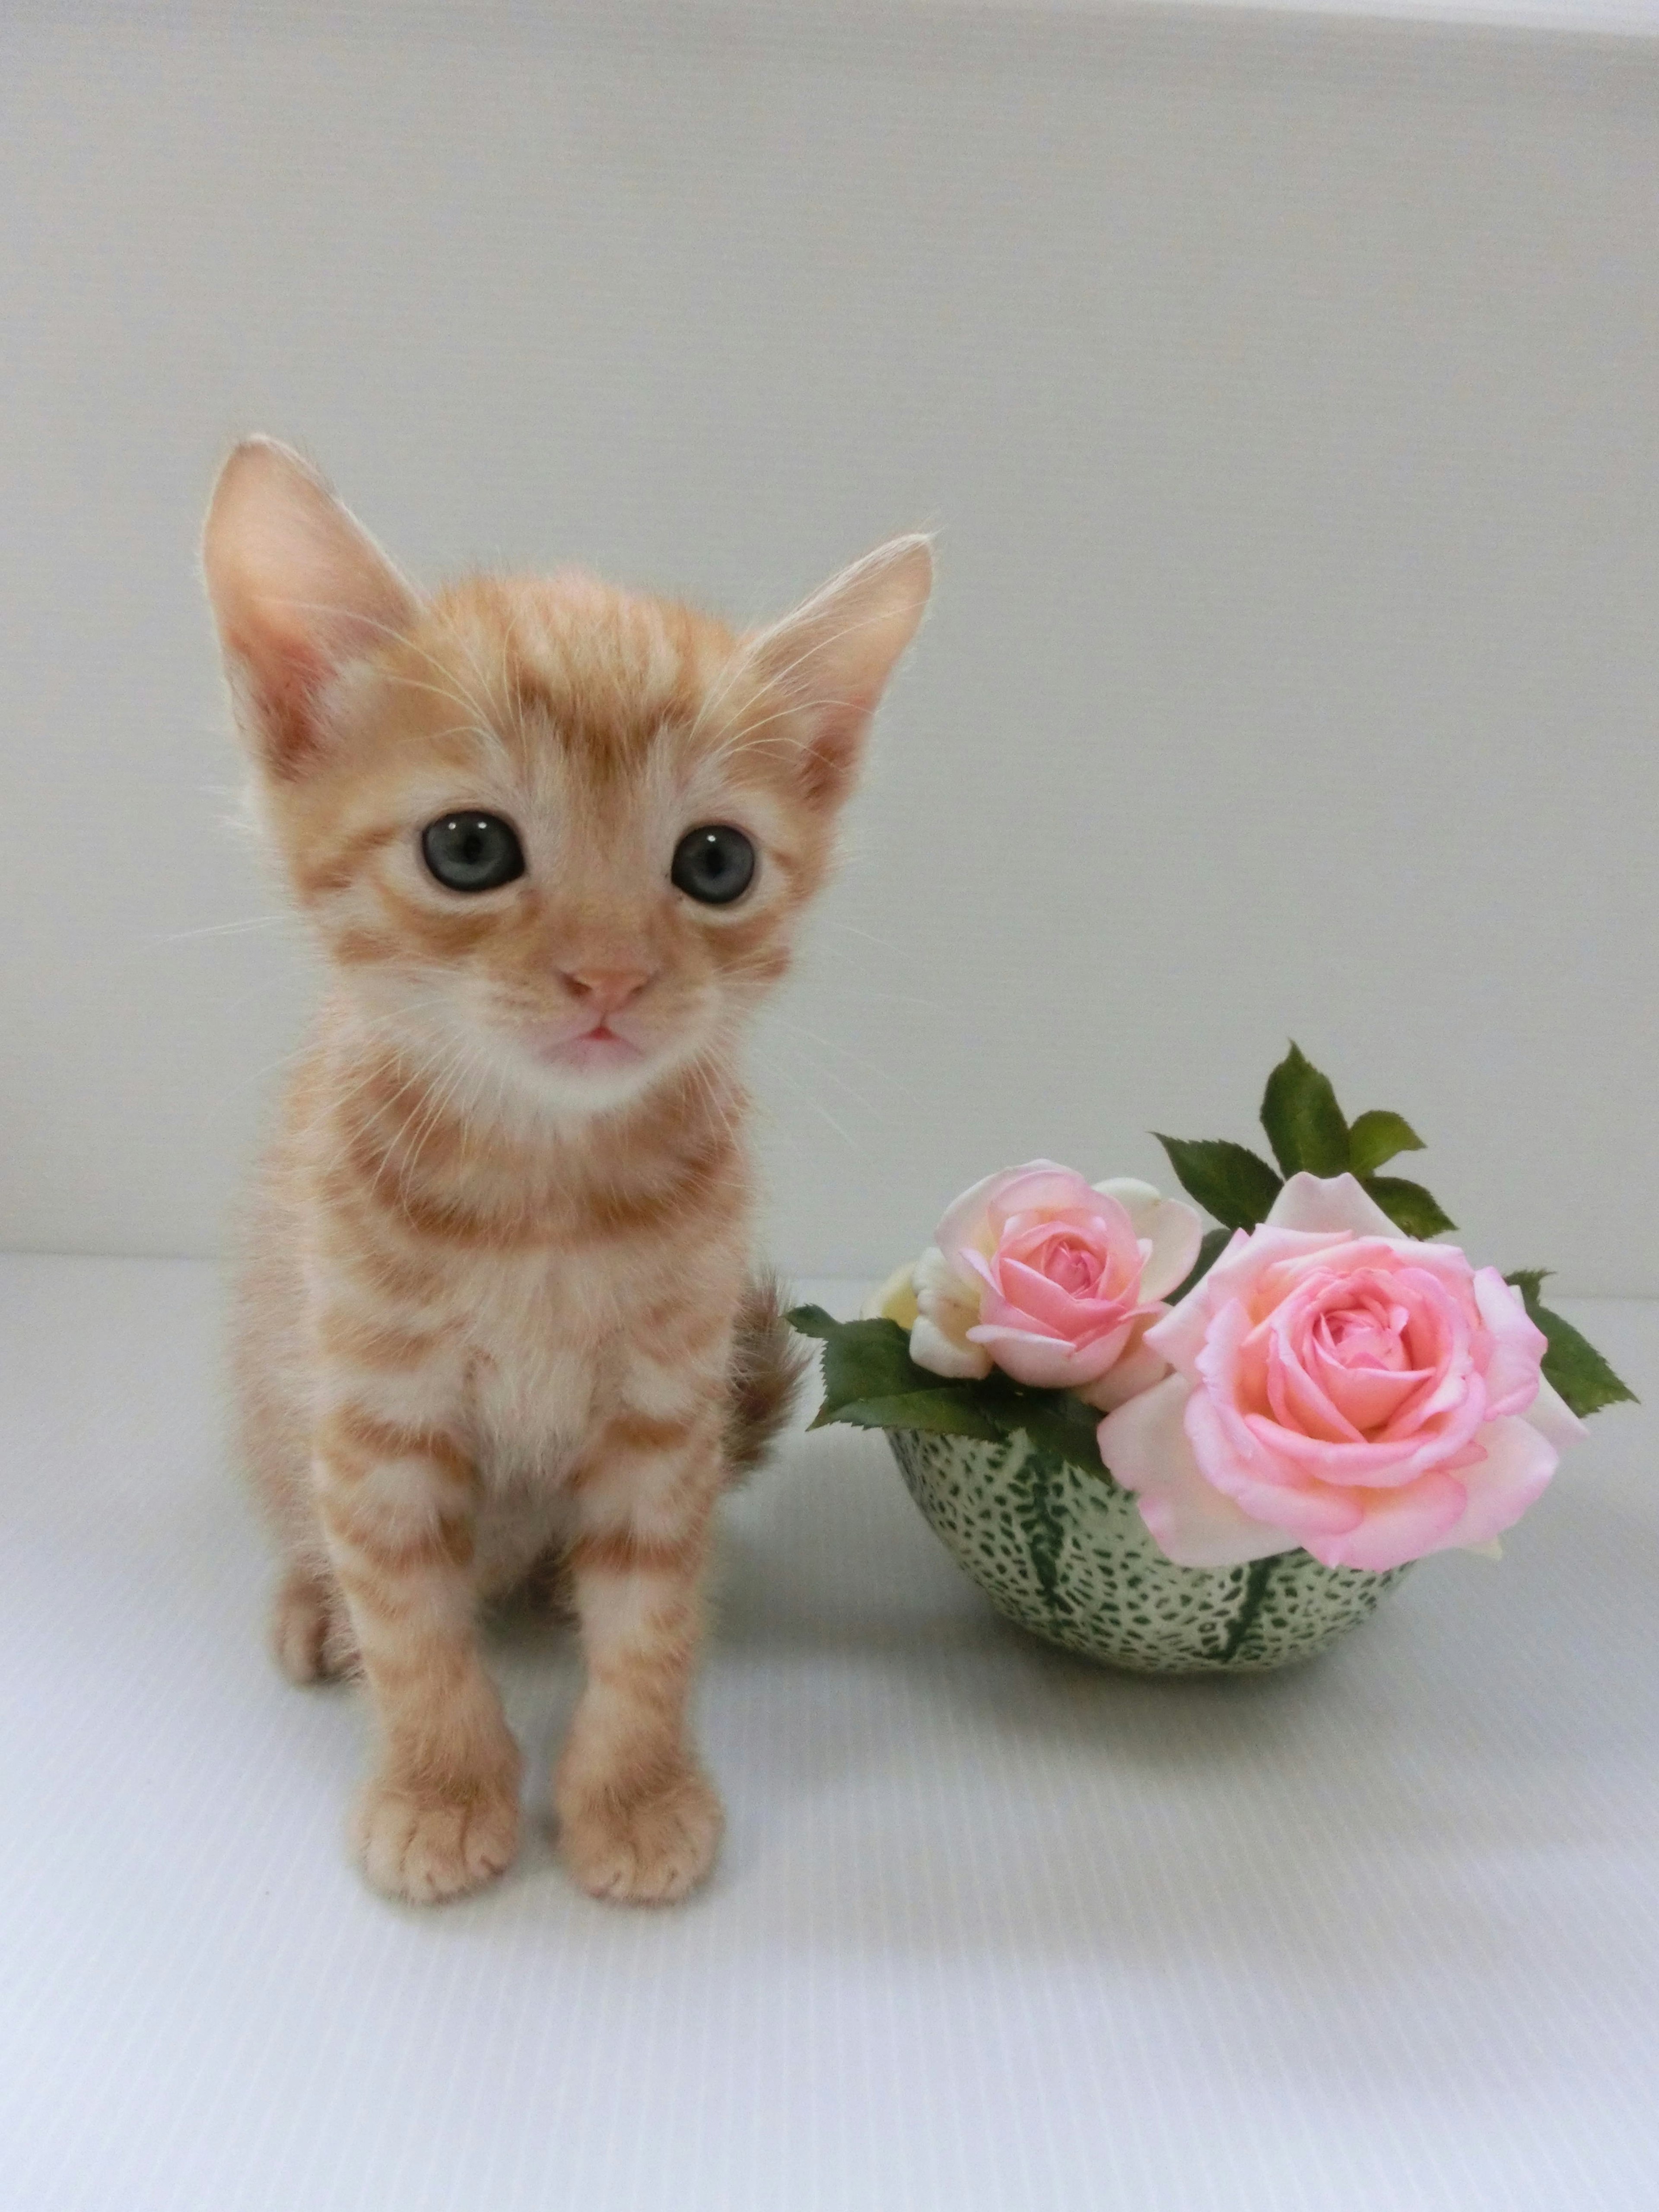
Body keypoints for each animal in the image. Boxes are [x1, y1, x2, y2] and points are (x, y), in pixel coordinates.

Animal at [201, 440, 929, 1911]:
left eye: (715, 860)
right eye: (470, 847)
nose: (608, 975)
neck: (540, 1190)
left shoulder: (667, 1410)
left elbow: (651, 1619)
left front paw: (634, 1793)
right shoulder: (372, 1408)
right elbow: (409, 1618)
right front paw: (439, 1786)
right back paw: (312, 1602)